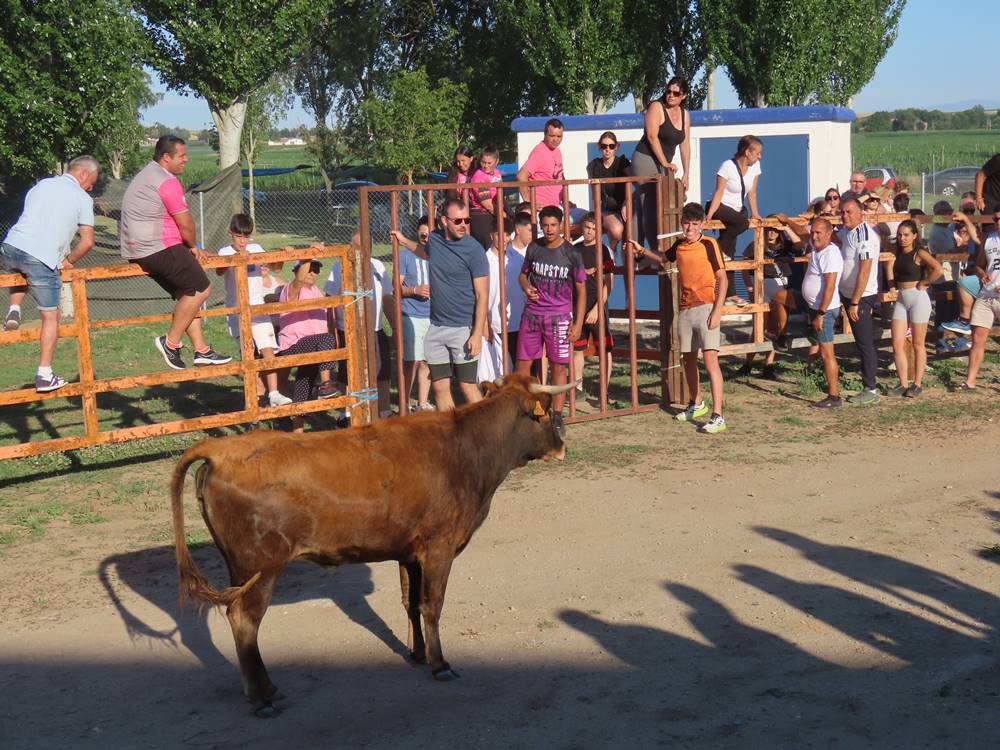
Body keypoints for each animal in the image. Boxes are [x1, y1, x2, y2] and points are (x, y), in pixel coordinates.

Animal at [172, 374, 572, 716]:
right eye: (546, 414)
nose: (562, 448)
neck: (465, 449)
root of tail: (220, 451)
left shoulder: (410, 554)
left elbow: (411, 603)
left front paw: (417, 653)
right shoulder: (439, 548)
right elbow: (432, 605)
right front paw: (440, 663)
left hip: (239, 570)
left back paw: (267, 690)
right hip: (261, 568)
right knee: (244, 620)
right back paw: (261, 698)